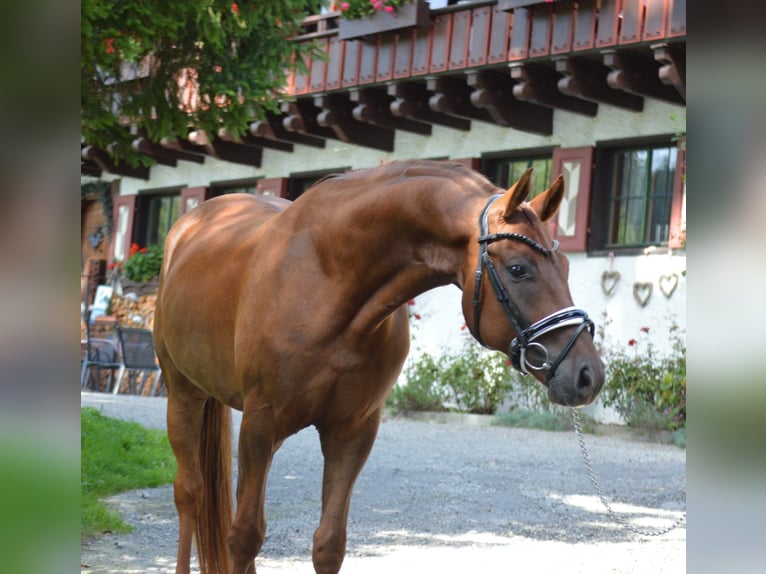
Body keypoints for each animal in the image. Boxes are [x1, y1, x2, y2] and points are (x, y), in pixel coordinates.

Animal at [154, 161, 608, 574]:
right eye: (518, 268)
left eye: (567, 267)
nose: (588, 375)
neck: (328, 279)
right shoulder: (260, 423)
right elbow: (244, 535)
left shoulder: (352, 432)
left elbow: (328, 544)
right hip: (184, 396)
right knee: (191, 493)